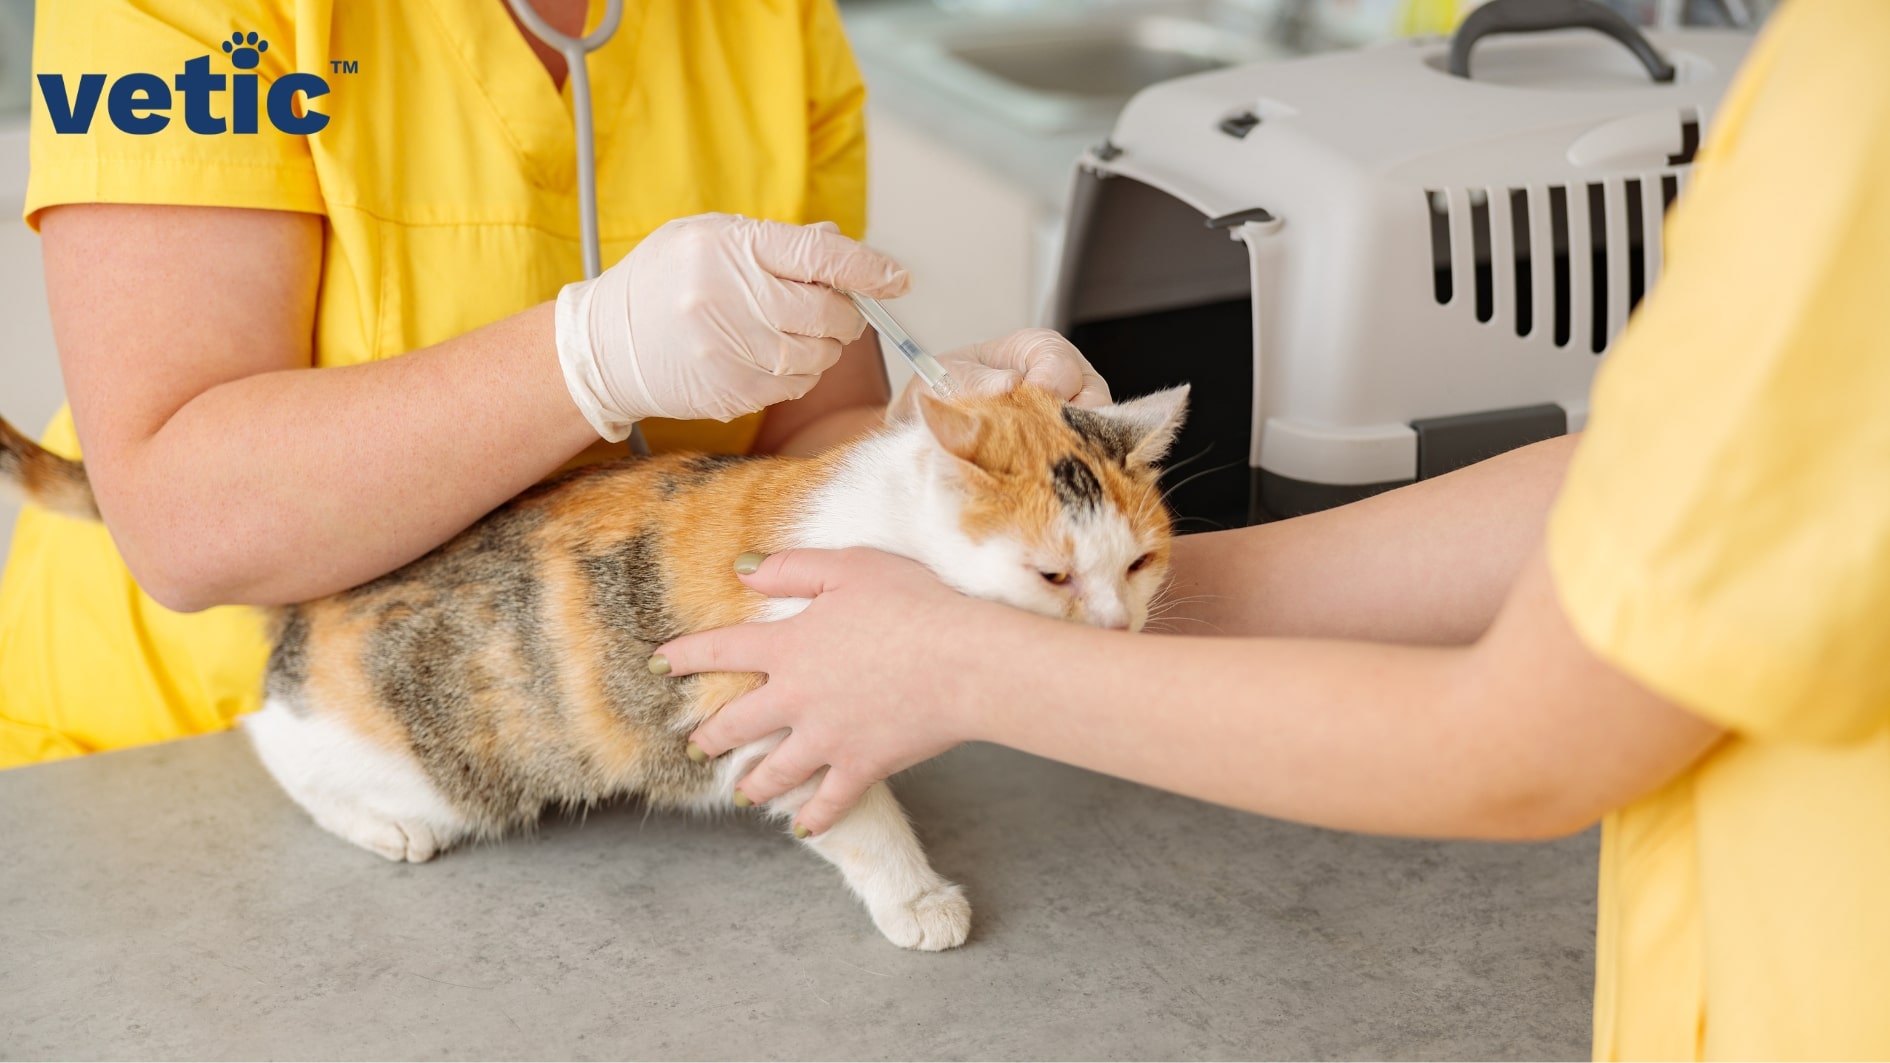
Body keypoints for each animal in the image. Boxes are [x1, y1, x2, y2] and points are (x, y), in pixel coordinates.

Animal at [3, 383, 1179, 945]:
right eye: (1052, 576)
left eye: (1140, 562)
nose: (1117, 631)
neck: (888, 536)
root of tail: (324, 583)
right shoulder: (781, 711)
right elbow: (862, 819)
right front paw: (917, 895)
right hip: (430, 756)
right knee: (275, 739)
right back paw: (384, 824)